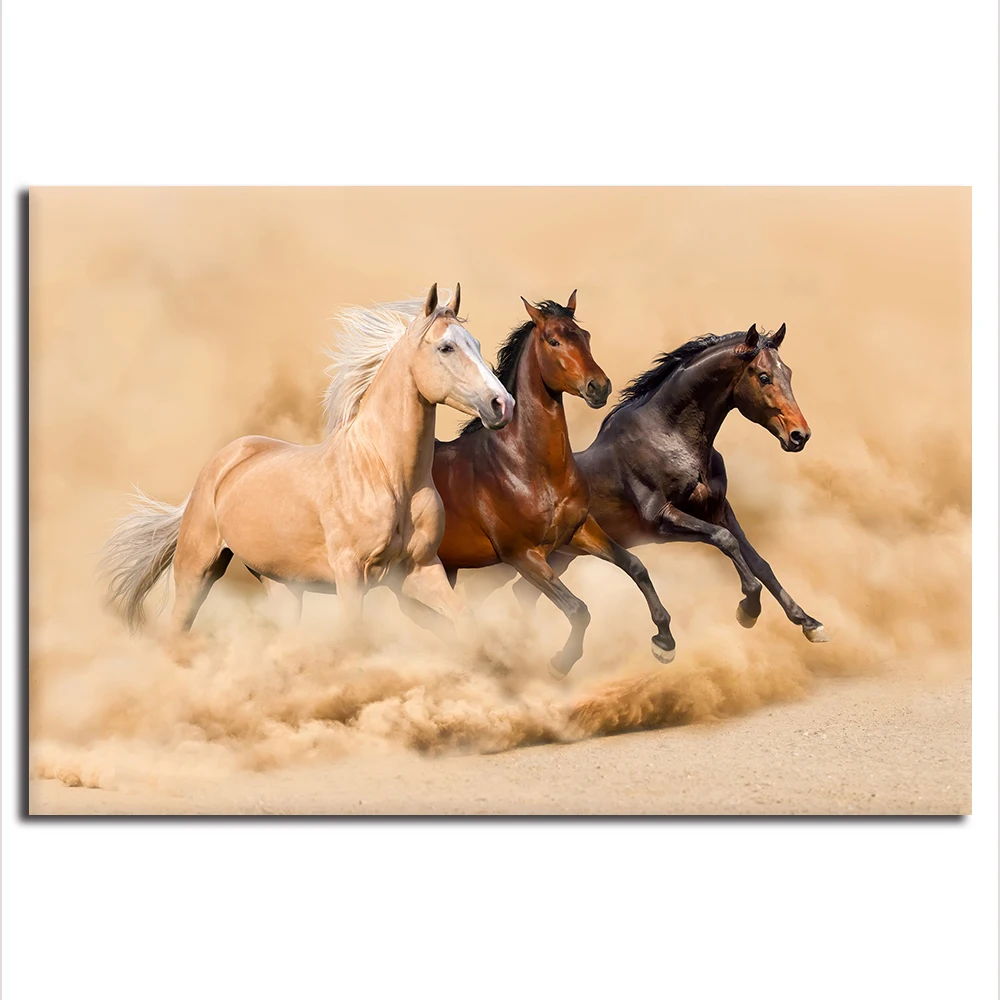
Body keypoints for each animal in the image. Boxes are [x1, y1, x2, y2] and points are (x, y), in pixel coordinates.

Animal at [99, 283, 516, 637]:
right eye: (446, 348)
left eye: (476, 343)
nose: (502, 404)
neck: (386, 474)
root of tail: (223, 462)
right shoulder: (351, 575)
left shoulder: (421, 571)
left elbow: (465, 621)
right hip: (197, 570)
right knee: (178, 629)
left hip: (282, 585)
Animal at [414, 292, 676, 679]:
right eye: (553, 340)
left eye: (585, 336)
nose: (599, 387)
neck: (528, 468)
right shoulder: (523, 555)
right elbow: (578, 609)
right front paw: (559, 663)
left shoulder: (578, 531)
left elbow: (635, 566)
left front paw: (664, 642)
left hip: (446, 568)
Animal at [507, 322, 829, 642]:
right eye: (763, 377)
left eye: (788, 373)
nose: (799, 435)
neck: (671, 438)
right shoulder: (662, 519)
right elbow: (725, 540)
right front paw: (748, 608)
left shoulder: (718, 509)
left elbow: (758, 561)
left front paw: (809, 622)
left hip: (560, 556)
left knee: (523, 592)